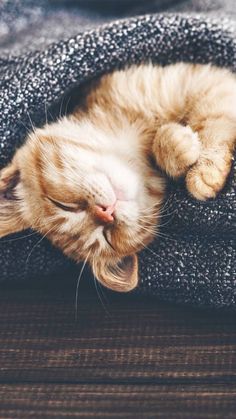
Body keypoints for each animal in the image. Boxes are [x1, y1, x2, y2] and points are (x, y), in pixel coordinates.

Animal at [0, 63, 236, 292]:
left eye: (64, 205)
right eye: (107, 237)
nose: (106, 213)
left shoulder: (202, 83)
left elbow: (213, 119)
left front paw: (204, 168)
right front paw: (179, 147)